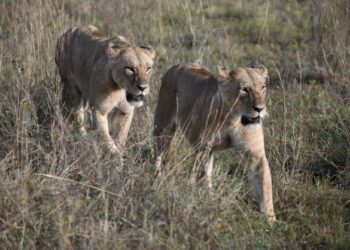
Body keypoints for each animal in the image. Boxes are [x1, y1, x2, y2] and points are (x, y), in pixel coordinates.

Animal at [55, 25, 154, 154]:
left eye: (148, 68)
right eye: (130, 68)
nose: (143, 87)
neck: (120, 89)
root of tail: (67, 31)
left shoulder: (126, 111)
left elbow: (121, 138)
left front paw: (119, 153)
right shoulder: (99, 110)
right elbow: (107, 139)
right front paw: (115, 157)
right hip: (71, 90)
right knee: (77, 117)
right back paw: (82, 141)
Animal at [153, 62, 276, 223]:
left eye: (262, 87)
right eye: (244, 89)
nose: (260, 109)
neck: (233, 118)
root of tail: (177, 65)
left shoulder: (255, 153)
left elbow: (265, 186)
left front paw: (271, 220)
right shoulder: (201, 147)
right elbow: (195, 176)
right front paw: (191, 198)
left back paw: (210, 195)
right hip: (164, 126)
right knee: (158, 153)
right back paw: (156, 179)